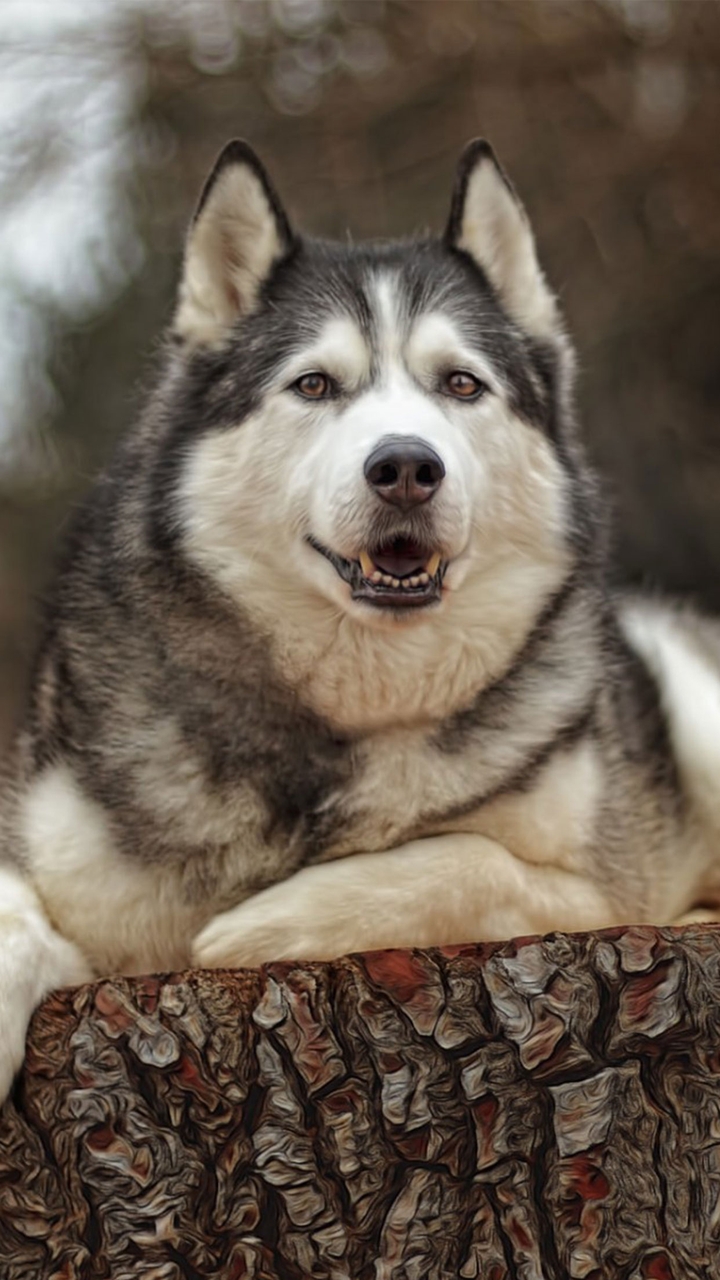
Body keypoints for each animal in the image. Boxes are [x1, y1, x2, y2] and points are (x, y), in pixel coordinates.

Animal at [2, 138, 720, 1102]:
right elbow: (15, 917)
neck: (346, 722)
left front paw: (266, 923)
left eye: (461, 384)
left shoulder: (603, 897)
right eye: (314, 384)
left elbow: (468, 859)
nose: (407, 466)